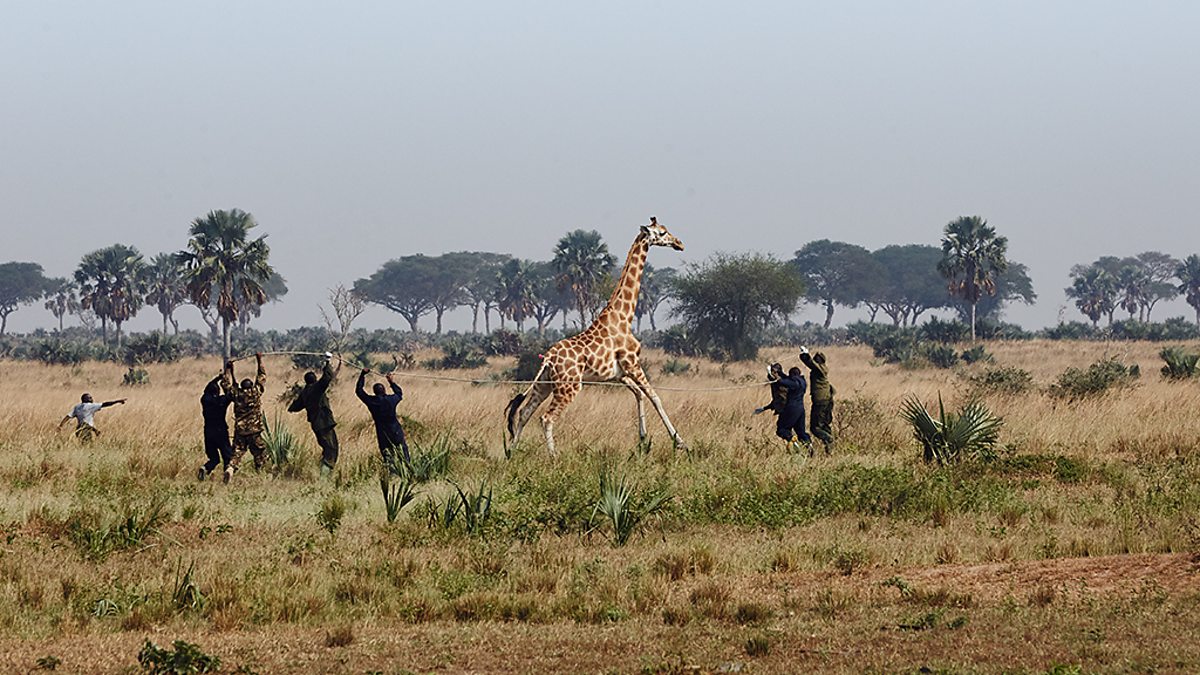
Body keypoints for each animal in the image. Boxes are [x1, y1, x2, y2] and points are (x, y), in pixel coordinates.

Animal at [506, 217, 687, 454]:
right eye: (663, 233)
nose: (679, 243)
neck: (624, 316)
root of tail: (548, 358)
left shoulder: (618, 374)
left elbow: (639, 395)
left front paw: (643, 440)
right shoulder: (632, 363)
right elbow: (655, 397)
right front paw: (679, 442)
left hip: (544, 384)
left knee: (525, 413)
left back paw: (511, 453)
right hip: (569, 387)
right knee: (546, 418)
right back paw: (554, 456)